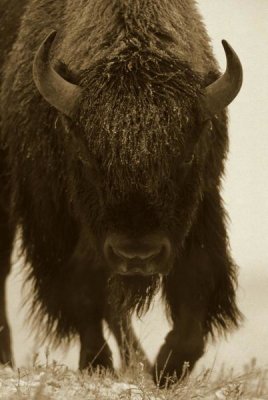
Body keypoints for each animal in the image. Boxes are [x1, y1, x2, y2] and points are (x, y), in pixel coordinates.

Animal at [0, 0, 243, 388]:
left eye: (186, 156)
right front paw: (96, 363)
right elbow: (82, 287)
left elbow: (196, 286)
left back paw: (138, 361)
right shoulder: (56, 221)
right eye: (85, 155)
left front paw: (165, 369)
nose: (137, 255)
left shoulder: (201, 209)